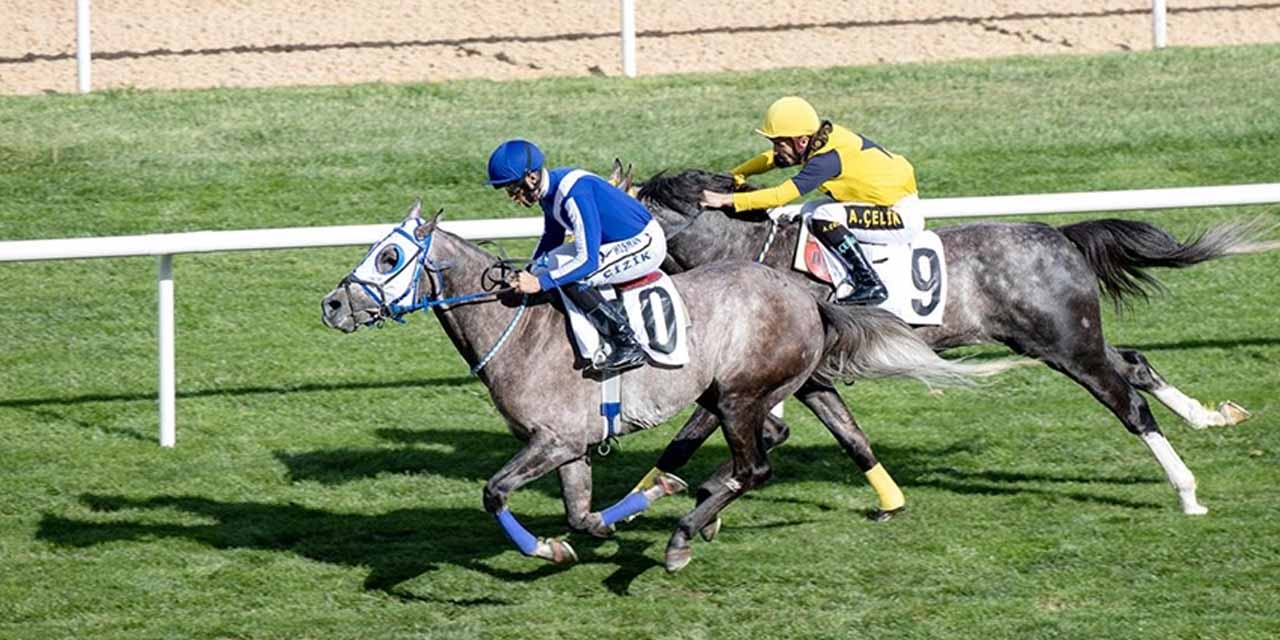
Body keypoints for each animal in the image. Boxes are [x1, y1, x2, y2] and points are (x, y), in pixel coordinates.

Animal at [317, 199, 1008, 570]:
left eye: (388, 257)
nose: (332, 305)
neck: (519, 328)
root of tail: (806, 294)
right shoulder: (568, 446)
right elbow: (580, 514)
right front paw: (601, 525)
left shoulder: (551, 440)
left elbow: (494, 494)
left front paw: (554, 546)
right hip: (740, 394)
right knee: (764, 445)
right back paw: (699, 506)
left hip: (735, 394)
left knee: (755, 467)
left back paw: (684, 533)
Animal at [616, 165, 1269, 514]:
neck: (747, 254)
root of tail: (1060, 235)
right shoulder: (809, 378)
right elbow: (836, 433)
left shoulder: (752, 375)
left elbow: (694, 434)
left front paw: (657, 496)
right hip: (1071, 338)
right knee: (1134, 363)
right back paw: (1212, 416)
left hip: (1066, 347)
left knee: (1128, 403)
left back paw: (1186, 492)